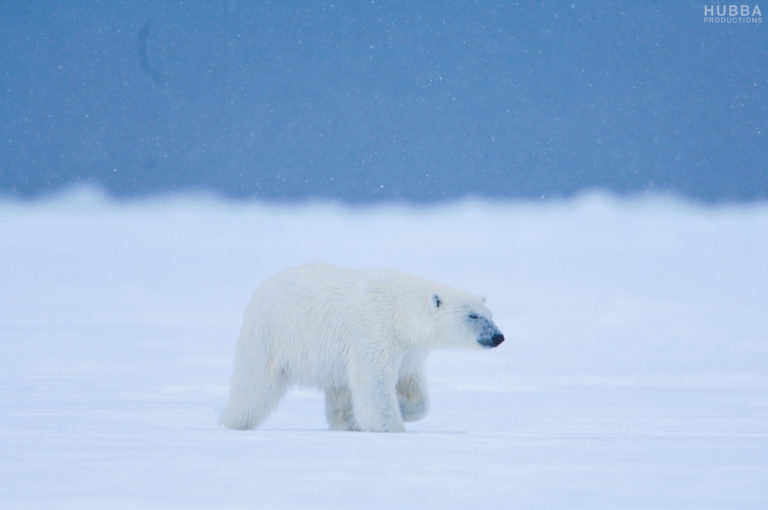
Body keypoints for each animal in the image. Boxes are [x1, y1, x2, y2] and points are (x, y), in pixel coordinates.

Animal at [220, 263, 504, 433]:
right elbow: (373, 382)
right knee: (253, 386)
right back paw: (232, 421)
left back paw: (344, 420)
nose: (498, 337)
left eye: (490, 314)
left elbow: (413, 388)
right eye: (472, 316)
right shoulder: (375, 335)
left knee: (338, 390)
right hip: (270, 335)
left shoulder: (409, 350)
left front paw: (394, 408)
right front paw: (391, 426)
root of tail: (262, 288)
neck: (399, 312)